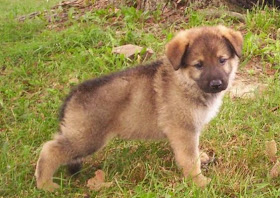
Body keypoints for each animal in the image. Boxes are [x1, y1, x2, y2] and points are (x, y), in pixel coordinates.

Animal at [35, 24, 243, 190]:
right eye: (198, 65)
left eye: (222, 60)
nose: (216, 84)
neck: (186, 82)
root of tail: (73, 94)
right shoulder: (183, 130)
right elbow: (189, 159)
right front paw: (198, 181)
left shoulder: (190, 131)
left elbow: (193, 152)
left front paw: (202, 158)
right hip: (87, 138)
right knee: (49, 149)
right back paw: (45, 184)